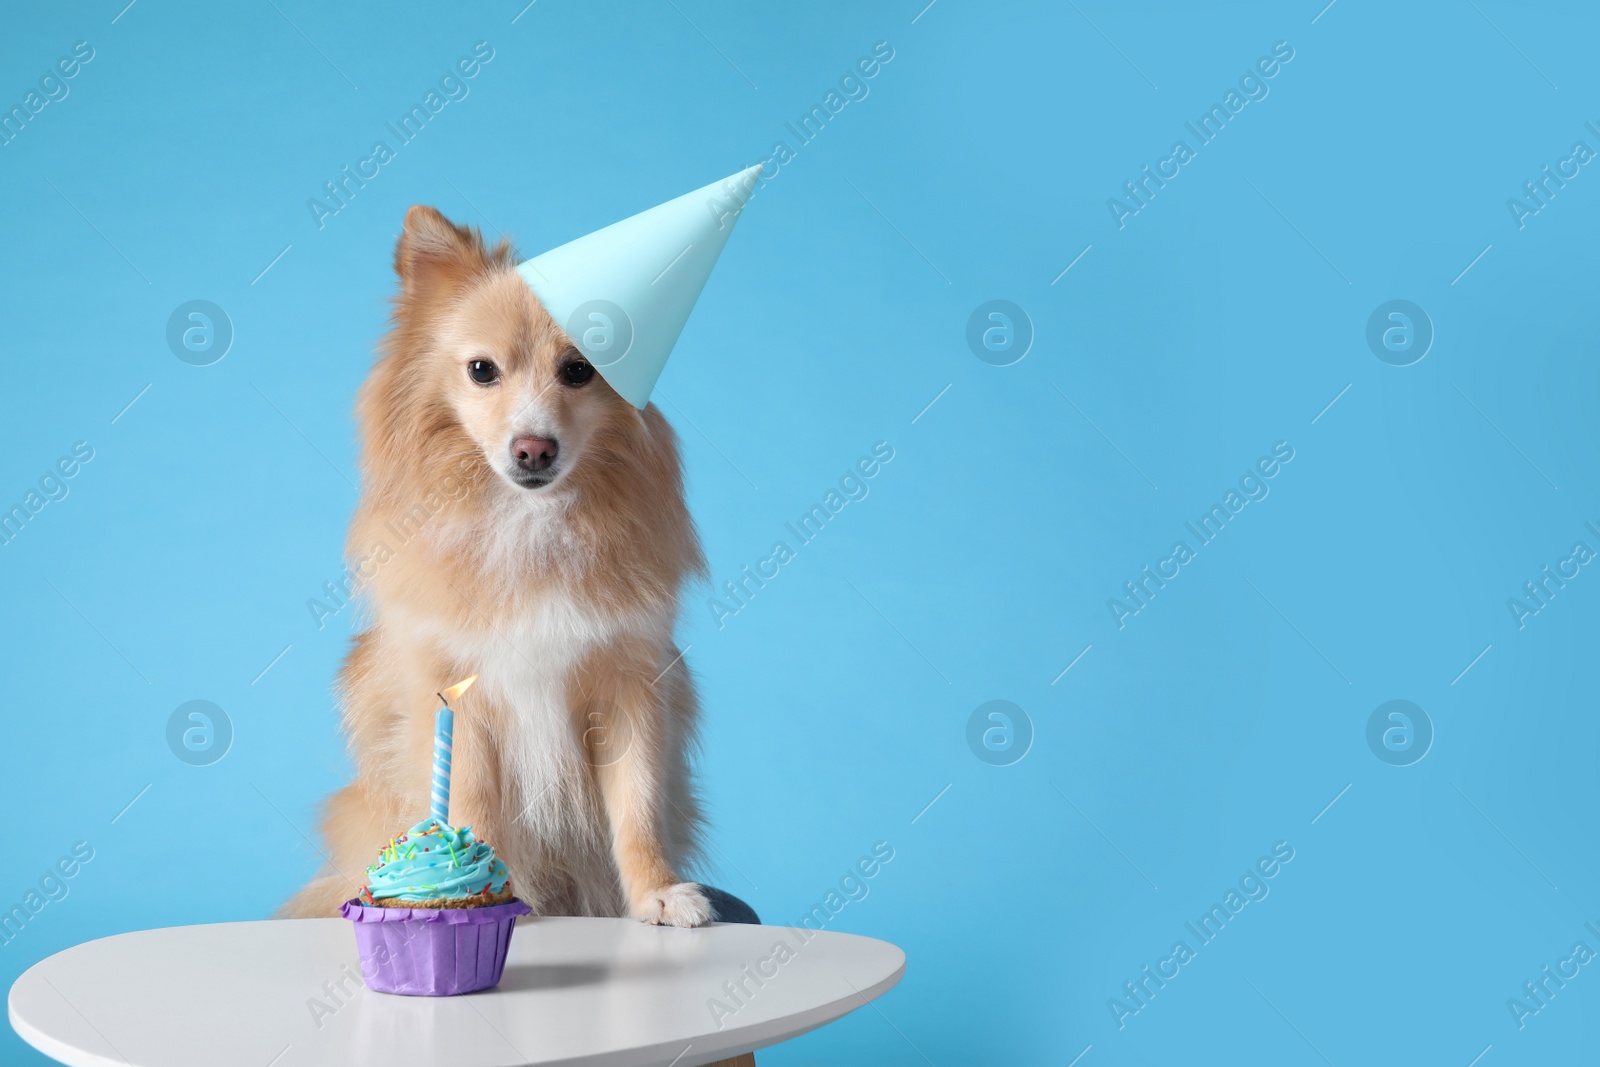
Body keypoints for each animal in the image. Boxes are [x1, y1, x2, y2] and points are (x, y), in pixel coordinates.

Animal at [286, 204, 713, 927]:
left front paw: (657, 891)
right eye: (482, 370)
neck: (529, 520)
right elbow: (473, 806)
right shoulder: (461, 698)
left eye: (580, 371)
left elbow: (636, 808)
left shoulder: (629, 689)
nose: (534, 448)